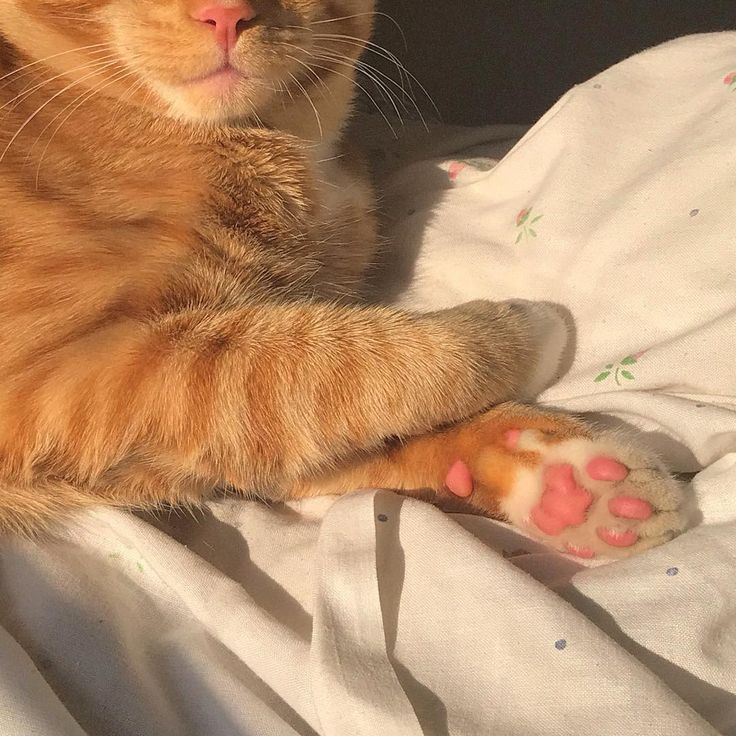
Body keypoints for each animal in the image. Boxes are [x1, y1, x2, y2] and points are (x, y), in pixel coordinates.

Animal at [0, 0, 688, 556]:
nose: (225, 13)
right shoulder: (76, 376)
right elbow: (343, 360)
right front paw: (526, 327)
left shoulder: (190, 435)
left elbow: (331, 431)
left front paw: (564, 483)